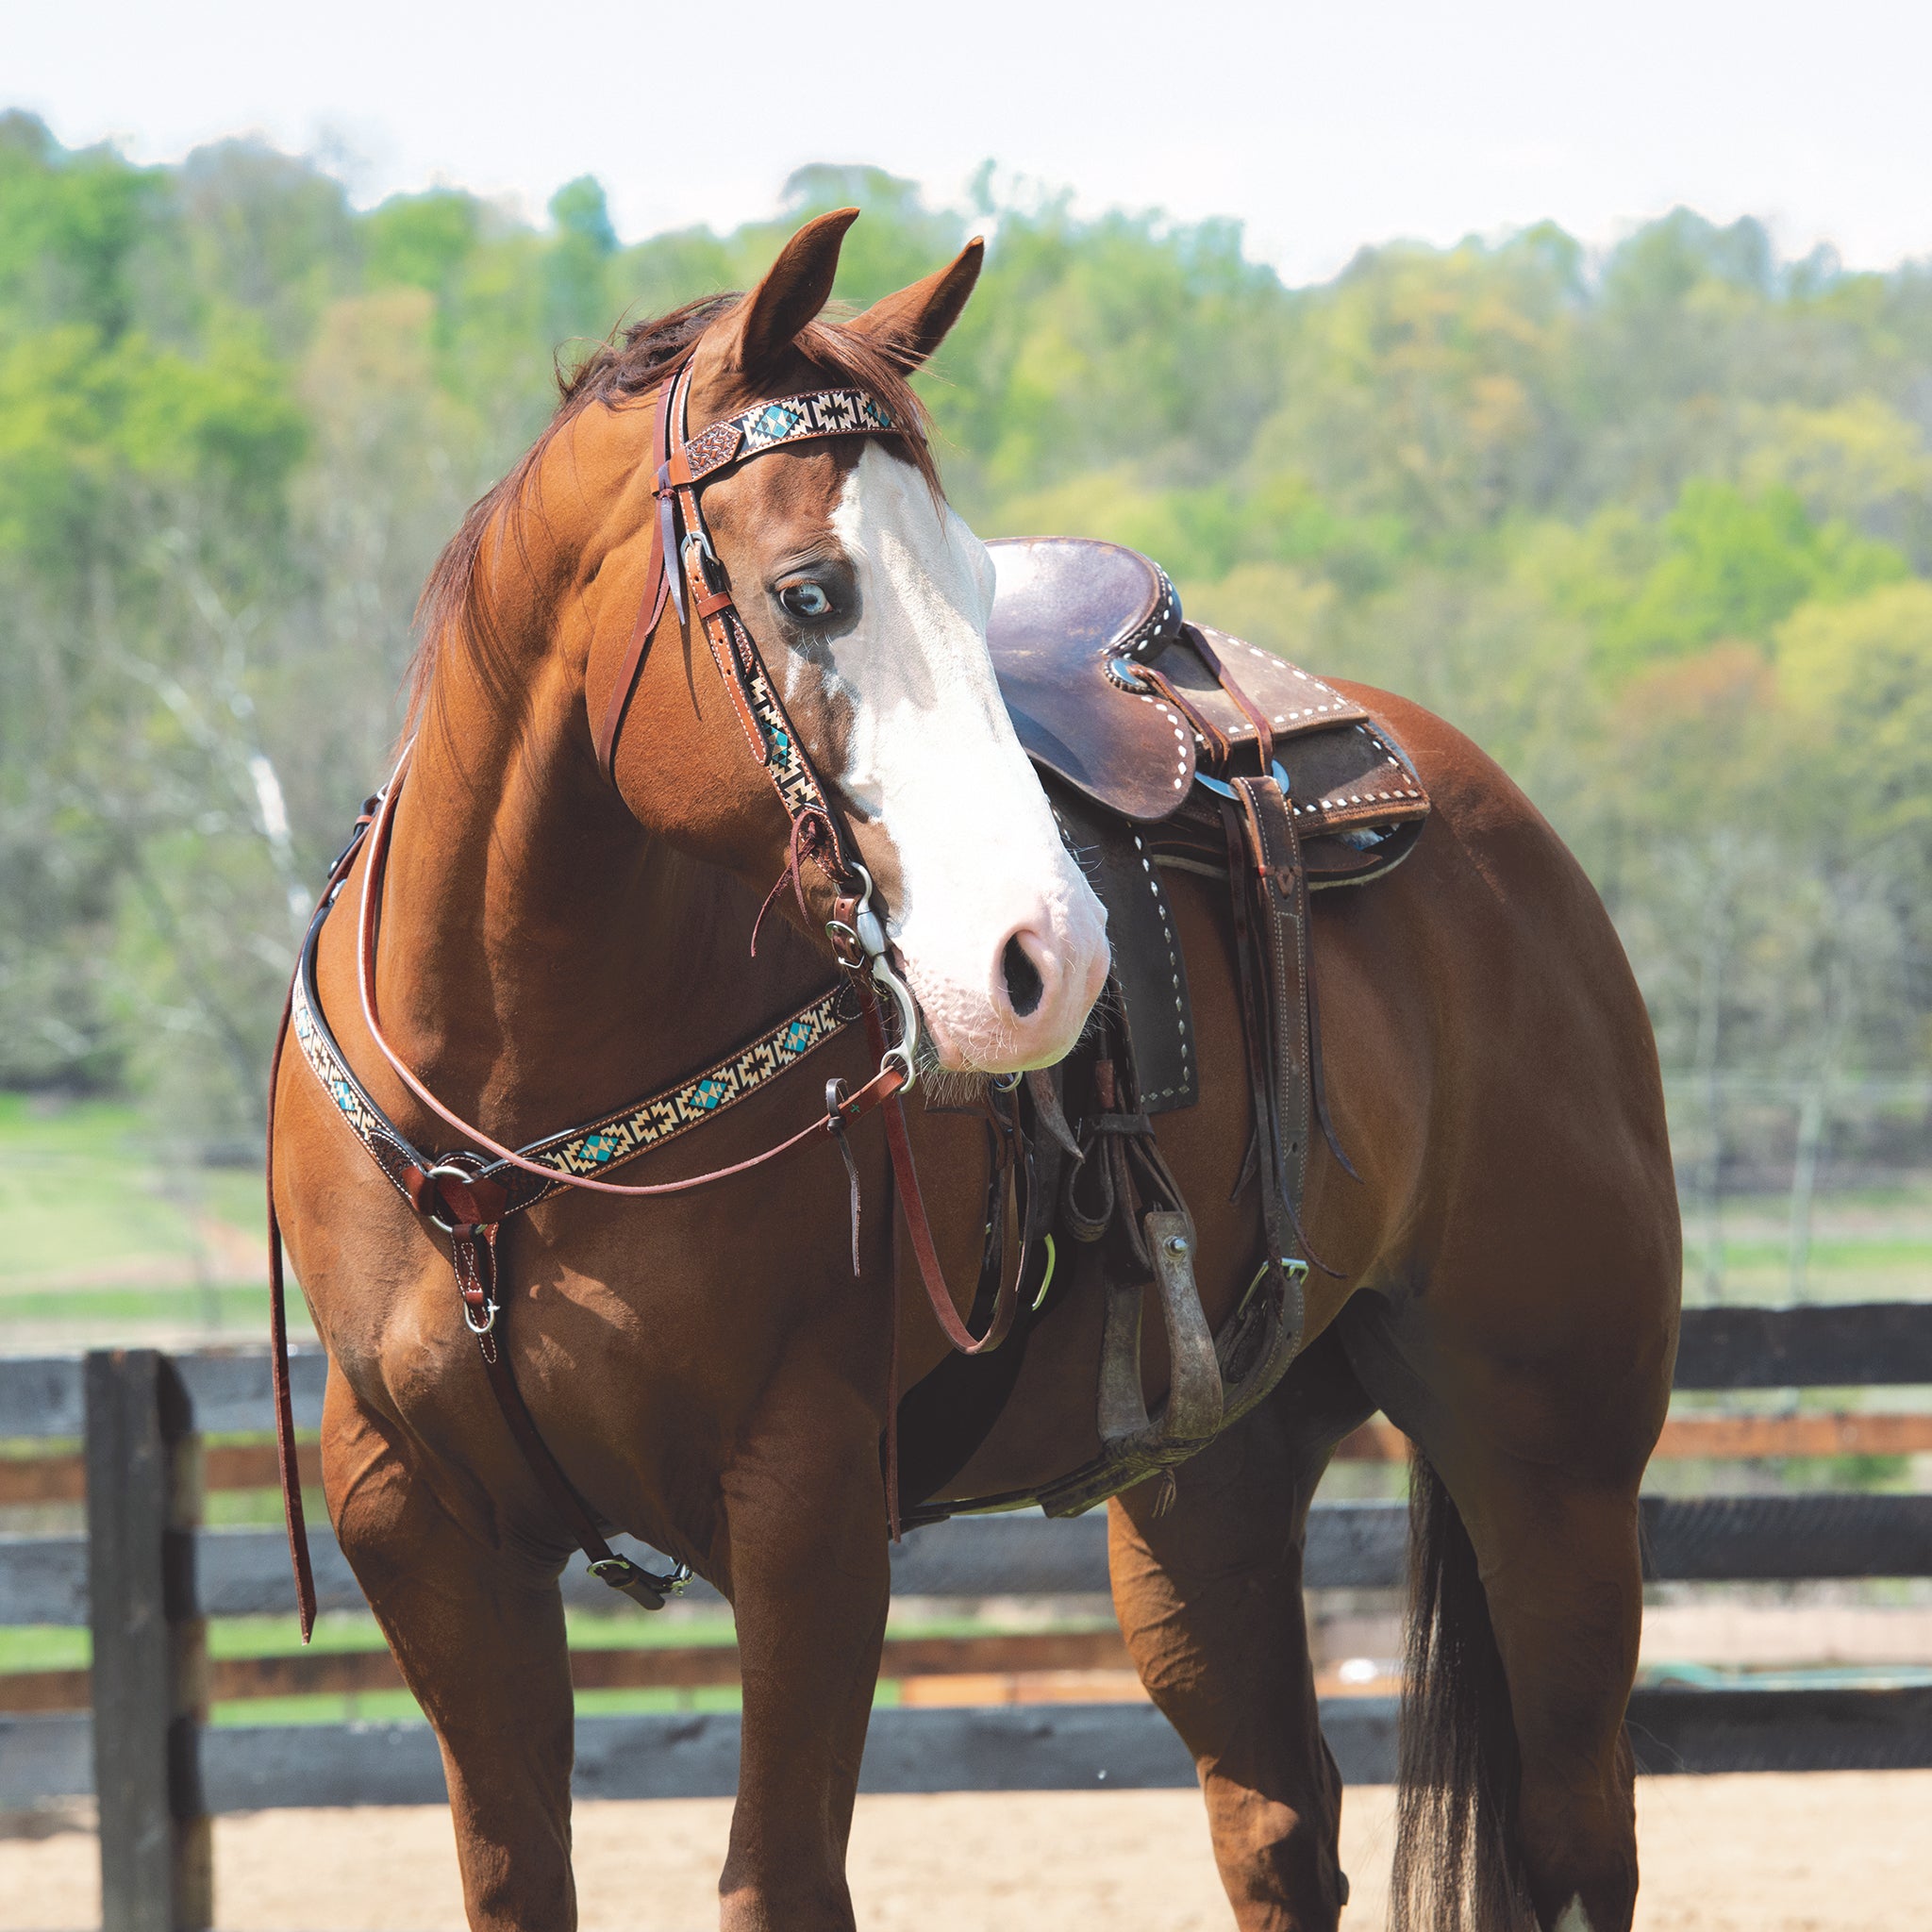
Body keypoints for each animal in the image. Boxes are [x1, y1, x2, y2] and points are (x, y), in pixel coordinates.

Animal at [269, 207, 1680, 1932]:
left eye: (973, 578)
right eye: (810, 593)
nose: (1047, 958)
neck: (512, 1115)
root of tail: (1506, 835)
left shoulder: (806, 1511)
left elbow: (778, 1877)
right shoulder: (420, 1527)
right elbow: (512, 1871)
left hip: (1548, 1460)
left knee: (1575, 1830)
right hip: (1207, 1479)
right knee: (1279, 1822)